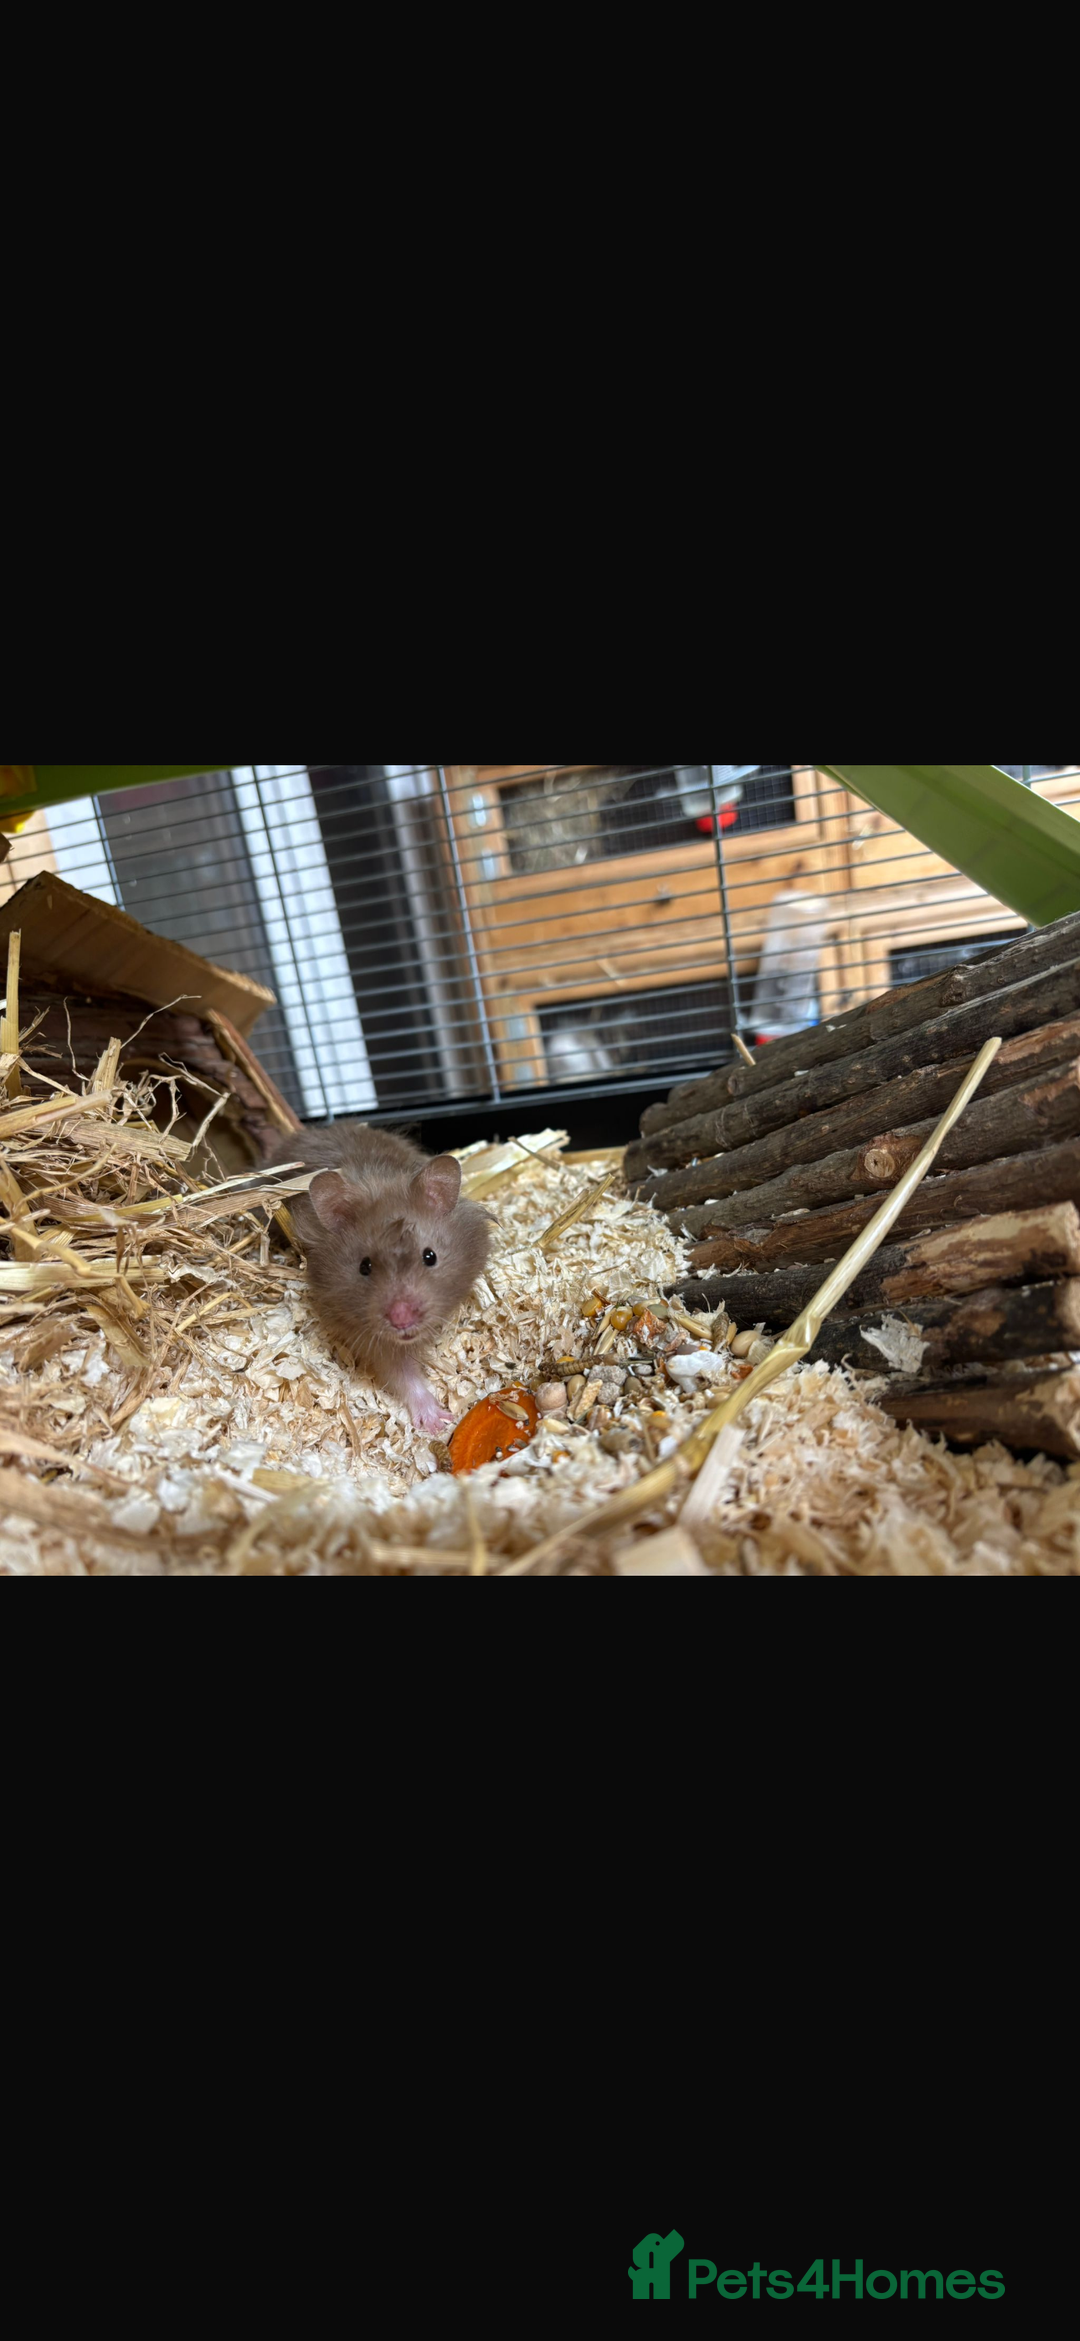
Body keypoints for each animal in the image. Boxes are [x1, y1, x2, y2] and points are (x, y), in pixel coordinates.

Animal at [265, 1122, 490, 1436]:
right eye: (364, 1266)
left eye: (430, 1256)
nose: (402, 1320)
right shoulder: (365, 1333)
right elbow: (402, 1374)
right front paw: (438, 1423)